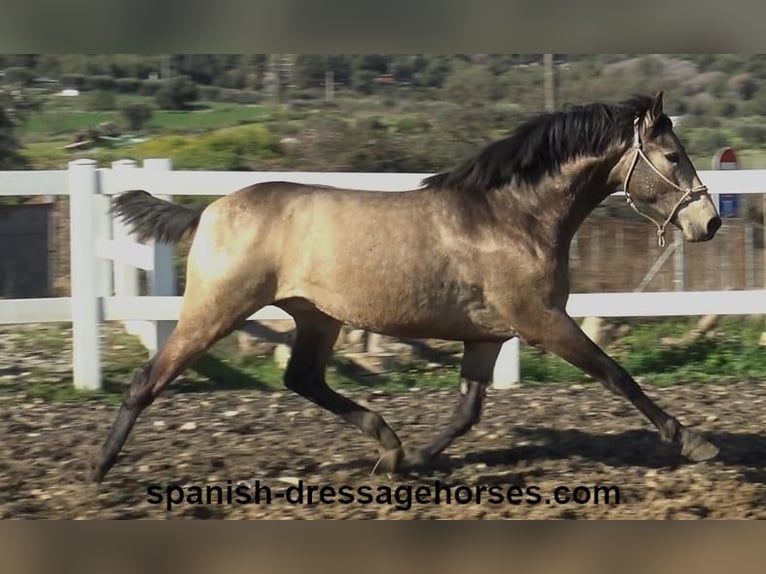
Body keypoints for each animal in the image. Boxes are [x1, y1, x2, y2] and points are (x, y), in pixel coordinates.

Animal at [88, 92, 720, 484]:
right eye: (671, 156)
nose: (708, 221)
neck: (512, 217)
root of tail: (210, 210)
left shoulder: (489, 334)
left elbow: (467, 410)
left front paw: (411, 459)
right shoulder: (542, 321)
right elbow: (616, 375)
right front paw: (693, 441)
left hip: (316, 316)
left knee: (303, 378)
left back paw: (387, 442)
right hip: (216, 309)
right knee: (148, 380)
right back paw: (98, 468)